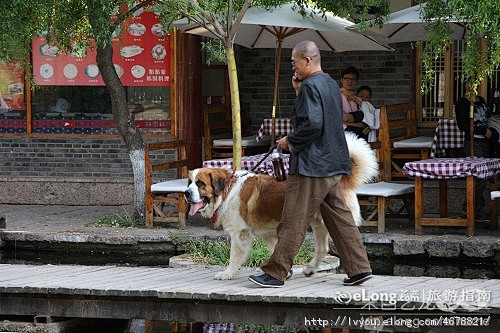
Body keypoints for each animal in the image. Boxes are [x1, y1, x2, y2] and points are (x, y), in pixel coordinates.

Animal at [186, 131, 376, 278]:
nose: (186, 193)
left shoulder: (240, 233)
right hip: (318, 222)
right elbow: (275, 248)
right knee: (323, 247)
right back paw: (311, 269)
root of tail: (341, 180)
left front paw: (227, 274)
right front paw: (286, 272)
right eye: (189, 182)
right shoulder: (268, 233)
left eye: (200, 184)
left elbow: (234, 256)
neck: (228, 190)